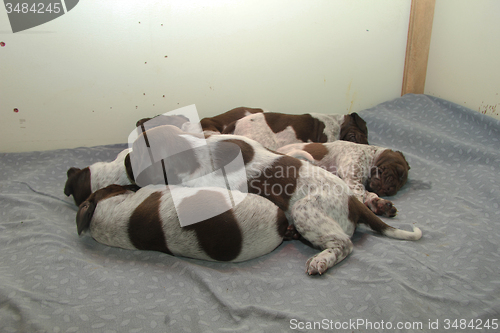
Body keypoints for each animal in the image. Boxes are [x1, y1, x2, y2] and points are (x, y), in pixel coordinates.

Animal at [278, 141, 410, 217]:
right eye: (399, 171)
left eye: (401, 184)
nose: (391, 189)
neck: (371, 155)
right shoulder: (353, 178)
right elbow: (361, 194)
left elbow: (369, 194)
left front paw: (379, 204)